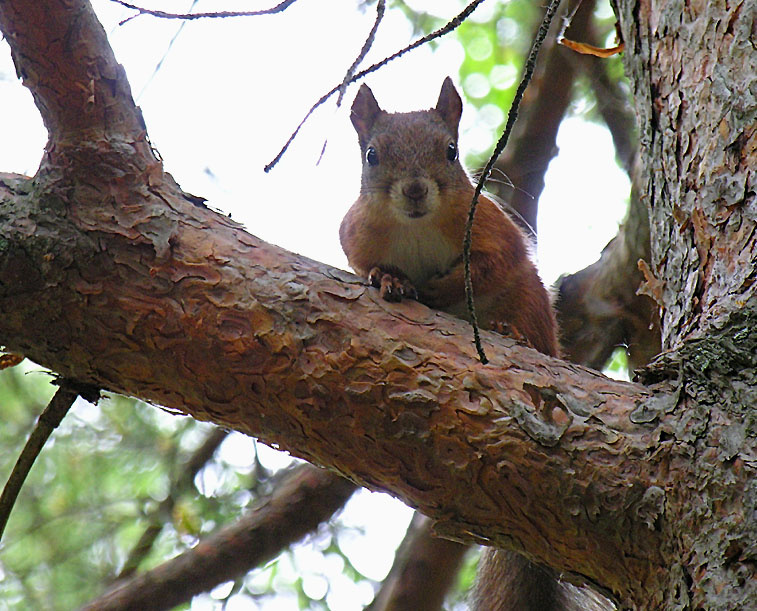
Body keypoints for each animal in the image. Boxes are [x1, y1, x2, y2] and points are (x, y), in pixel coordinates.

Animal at [340, 78, 570, 610]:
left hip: (530, 300)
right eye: (371, 155)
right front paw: (389, 279)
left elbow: (491, 265)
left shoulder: (490, 228)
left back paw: (511, 332)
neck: (417, 225)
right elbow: (366, 264)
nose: (415, 189)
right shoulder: (356, 234)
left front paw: (439, 288)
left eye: (450, 151)